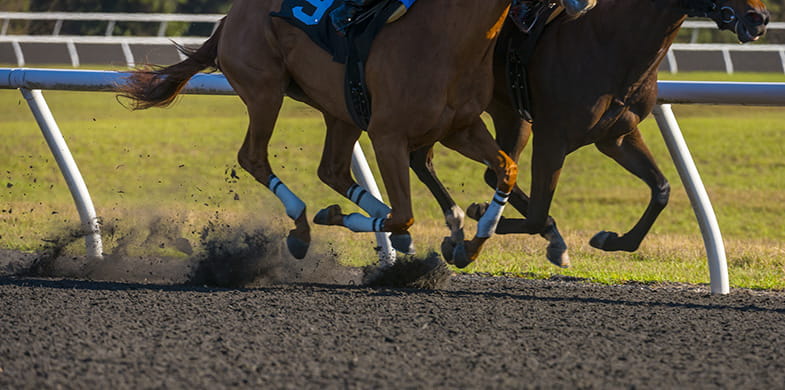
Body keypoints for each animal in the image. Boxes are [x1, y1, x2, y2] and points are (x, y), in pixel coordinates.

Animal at [121, 0, 596, 264]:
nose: (583, 3)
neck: (449, 39)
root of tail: (229, 18)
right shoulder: (389, 136)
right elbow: (404, 212)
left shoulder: (460, 127)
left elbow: (507, 169)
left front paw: (472, 243)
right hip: (265, 90)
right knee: (253, 157)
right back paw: (302, 225)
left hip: (341, 111)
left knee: (332, 170)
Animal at [414, 0, 768, 268]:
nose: (760, 17)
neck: (611, 43)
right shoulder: (552, 139)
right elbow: (537, 215)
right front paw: (477, 226)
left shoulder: (617, 136)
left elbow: (661, 190)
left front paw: (611, 239)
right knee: (427, 160)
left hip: (509, 115)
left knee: (474, 168)